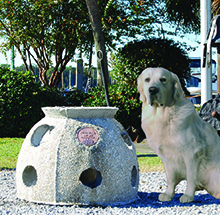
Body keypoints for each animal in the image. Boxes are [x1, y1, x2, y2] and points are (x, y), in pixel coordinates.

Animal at [138, 67, 220, 203]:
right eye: (147, 80)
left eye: (163, 79)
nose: (153, 89)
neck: (163, 116)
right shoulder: (166, 157)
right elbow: (170, 178)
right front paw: (168, 194)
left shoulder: (192, 153)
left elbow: (191, 177)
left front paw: (188, 196)